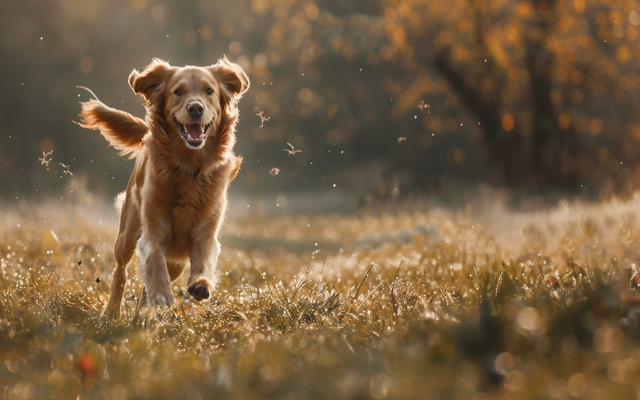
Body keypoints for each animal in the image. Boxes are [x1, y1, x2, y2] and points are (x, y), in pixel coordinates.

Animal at [78, 57, 250, 318]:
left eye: (209, 91)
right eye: (178, 91)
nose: (195, 108)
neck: (189, 168)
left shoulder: (206, 232)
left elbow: (204, 259)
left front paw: (201, 284)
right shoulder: (153, 229)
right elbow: (154, 263)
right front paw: (161, 293)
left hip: (176, 262)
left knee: (145, 289)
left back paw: (142, 315)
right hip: (127, 234)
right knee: (121, 271)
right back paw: (112, 312)